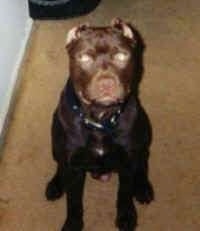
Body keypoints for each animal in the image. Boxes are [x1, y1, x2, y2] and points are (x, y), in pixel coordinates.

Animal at [46, 18, 154, 231]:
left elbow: (124, 193)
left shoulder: (128, 160)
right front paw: (72, 223)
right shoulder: (73, 166)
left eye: (122, 55)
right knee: (59, 164)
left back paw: (143, 187)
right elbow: (73, 201)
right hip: (56, 146)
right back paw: (55, 185)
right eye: (84, 58)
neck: (100, 118)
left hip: (143, 141)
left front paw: (126, 217)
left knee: (143, 162)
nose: (106, 84)